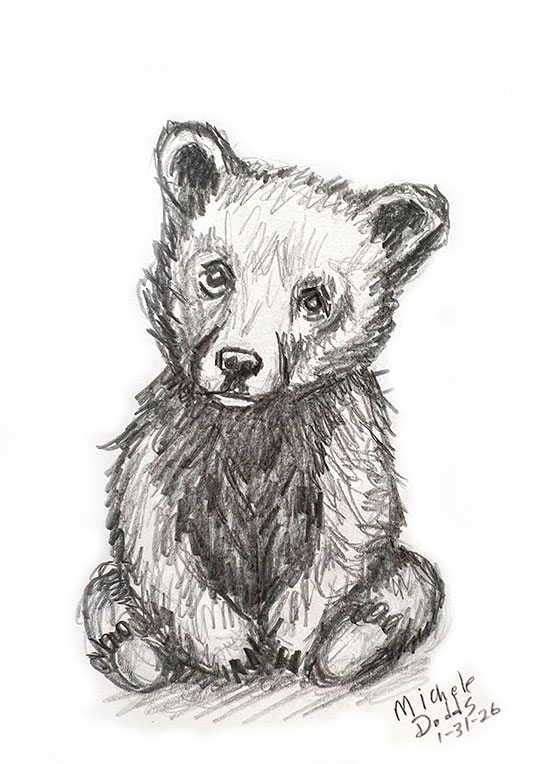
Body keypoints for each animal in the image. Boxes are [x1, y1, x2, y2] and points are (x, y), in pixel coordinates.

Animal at [81, 121, 450, 694]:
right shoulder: (173, 436)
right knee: (104, 586)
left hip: (405, 572)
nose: (237, 363)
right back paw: (130, 644)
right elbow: (155, 535)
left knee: (414, 577)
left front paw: (291, 637)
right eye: (215, 274)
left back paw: (359, 636)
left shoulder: (338, 436)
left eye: (315, 298)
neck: (253, 421)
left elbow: (351, 527)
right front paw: (230, 646)